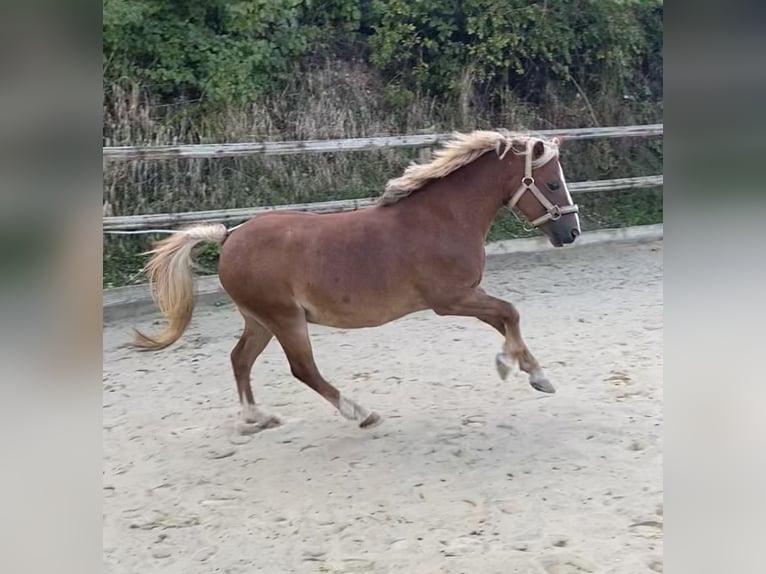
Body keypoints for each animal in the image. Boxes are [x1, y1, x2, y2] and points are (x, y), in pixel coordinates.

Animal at [136, 130, 584, 434]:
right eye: (551, 182)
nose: (571, 233)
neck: (443, 217)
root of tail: (229, 237)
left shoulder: (467, 295)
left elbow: (506, 319)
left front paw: (535, 374)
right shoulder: (453, 299)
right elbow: (510, 312)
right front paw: (515, 367)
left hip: (260, 320)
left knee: (240, 359)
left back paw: (256, 418)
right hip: (285, 320)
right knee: (303, 370)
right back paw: (361, 413)